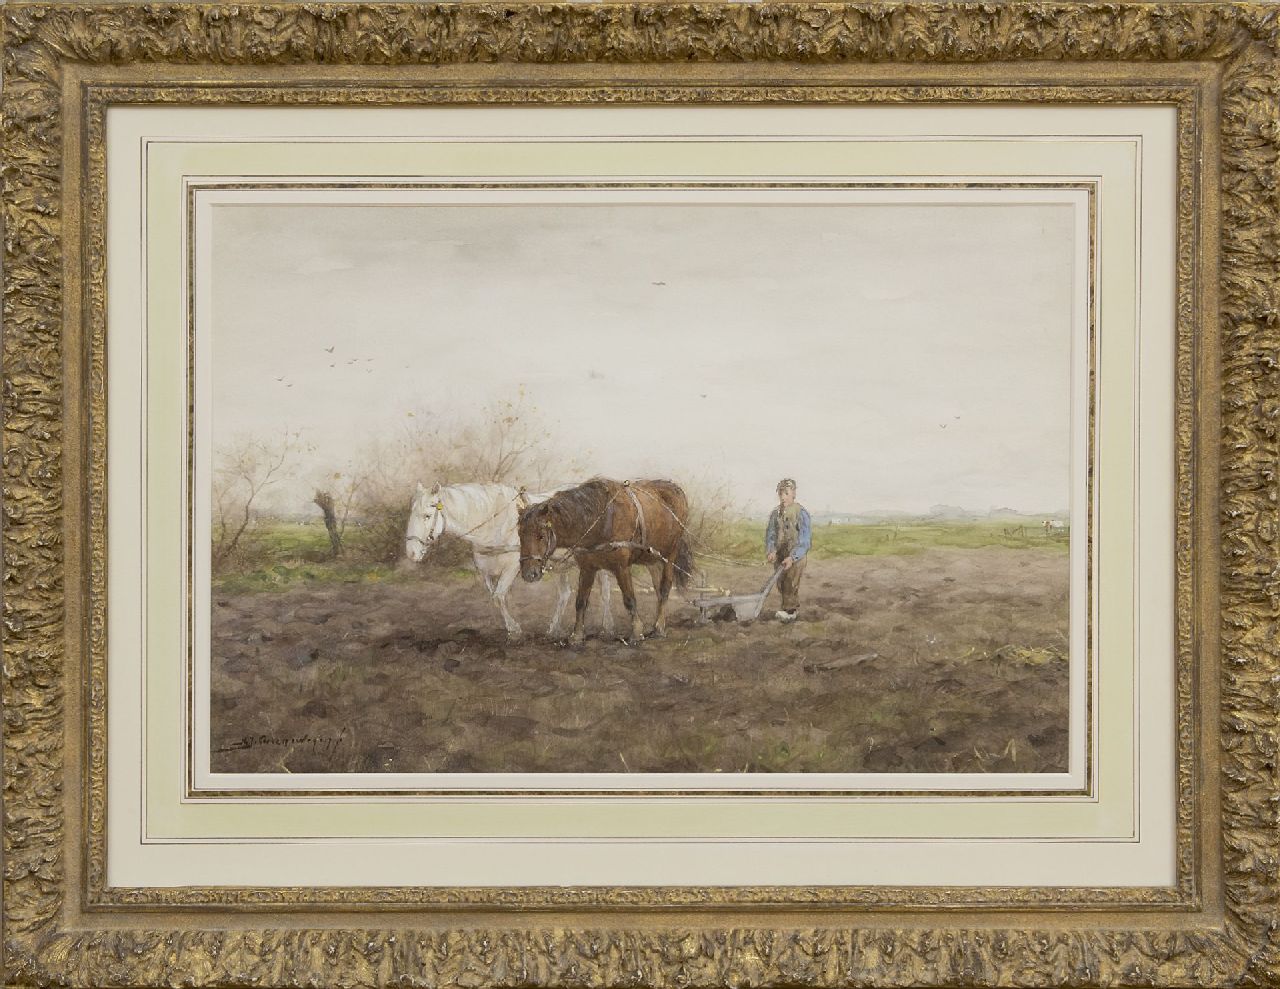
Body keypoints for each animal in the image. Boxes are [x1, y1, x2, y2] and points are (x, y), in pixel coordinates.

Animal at [404, 481, 614, 639]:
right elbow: (496, 598)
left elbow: (499, 595)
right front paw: (511, 627)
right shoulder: (486, 571)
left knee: (604, 591)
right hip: (561, 564)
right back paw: (553, 629)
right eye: (411, 514)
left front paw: (514, 630)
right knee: (564, 594)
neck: (494, 524)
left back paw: (607, 627)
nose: (411, 553)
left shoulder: (513, 567)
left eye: (427, 516)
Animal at [517, 475, 696, 644]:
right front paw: (577, 636)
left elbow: (629, 600)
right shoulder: (587, 568)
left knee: (664, 589)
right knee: (658, 589)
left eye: (541, 536)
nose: (529, 573)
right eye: (520, 534)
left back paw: (659, 627)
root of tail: (675, 488)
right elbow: (581, 602)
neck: (601, 519)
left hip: (669, 555)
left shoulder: (621, 567)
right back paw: (657, 624)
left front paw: (636, 633)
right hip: (651, 557)